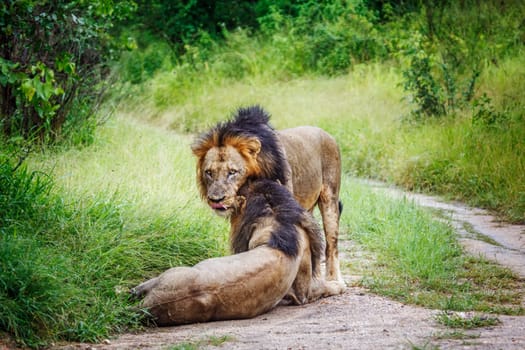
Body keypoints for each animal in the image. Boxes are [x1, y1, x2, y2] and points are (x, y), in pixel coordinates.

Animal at [132, 179, 344, 326]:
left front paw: (338, 286)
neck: (276, 220)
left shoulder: (303, 293)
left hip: (173, 273)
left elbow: (325, 287)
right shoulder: (303, 292)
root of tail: (151, 305)